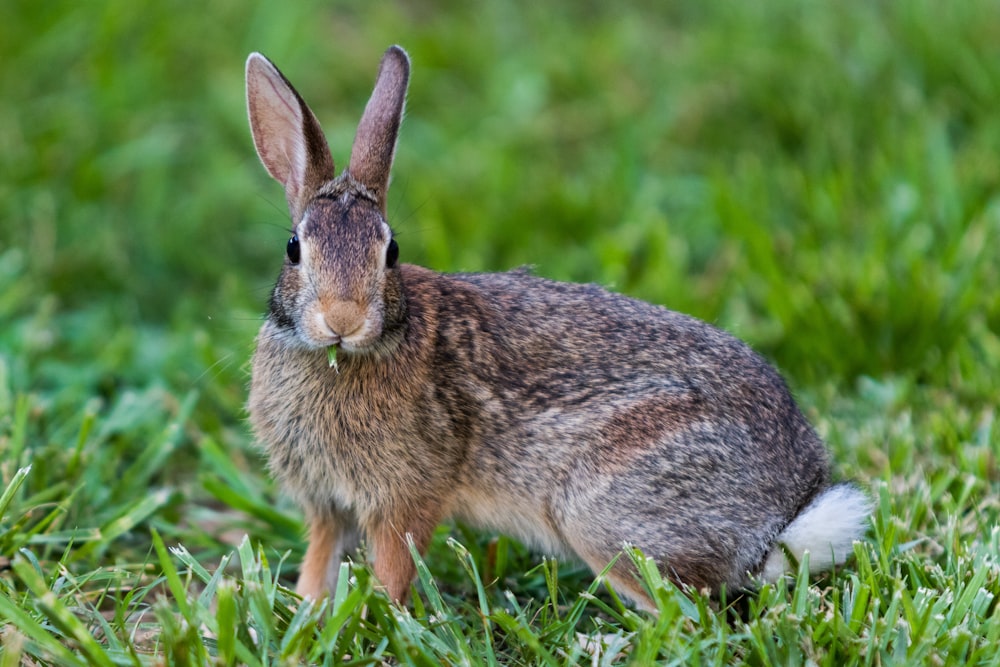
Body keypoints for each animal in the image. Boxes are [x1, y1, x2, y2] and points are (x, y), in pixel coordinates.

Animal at [242, 45, 868, 612]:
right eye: (294, 248)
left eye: (390, 252)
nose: (342, 320)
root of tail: (782, 517)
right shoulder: (326, 505)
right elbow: (321, 559)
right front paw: (308, 610)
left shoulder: (404, 498)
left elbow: (395, 568)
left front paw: (378, 614)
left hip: (600, 516)